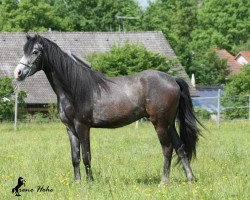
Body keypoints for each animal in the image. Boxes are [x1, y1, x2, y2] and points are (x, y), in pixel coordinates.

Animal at [13, 34, 202, 184]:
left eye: (35, 52)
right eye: (24, 50)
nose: (18, 73)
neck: (73, 89)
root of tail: (172, 80)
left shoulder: (82, 127)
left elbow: (86, 155)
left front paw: (90, 182)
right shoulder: (70, 129)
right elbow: (75, 157)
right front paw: (77, 182)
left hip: (160, 124)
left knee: (167, 149)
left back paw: (164, 181)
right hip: (169, 124)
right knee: (180, 147)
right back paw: (190, 179)